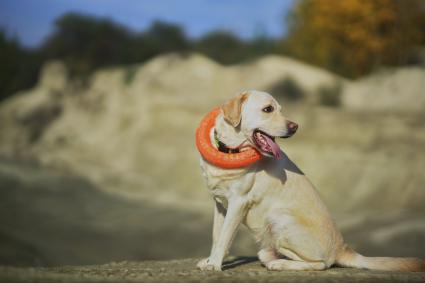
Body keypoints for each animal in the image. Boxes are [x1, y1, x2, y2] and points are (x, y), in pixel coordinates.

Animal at [195, 90, 424, 272]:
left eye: (280, 109)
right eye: (268, 109)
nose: (295, 126)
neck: (230, 149)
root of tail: (342, 248)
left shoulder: (238, 202)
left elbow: (224, 238)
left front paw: (214, 265)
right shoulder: (220, 204)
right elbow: (217, 236)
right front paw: (210, 260)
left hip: (279, 219)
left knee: (321, 264)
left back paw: (280, 264)